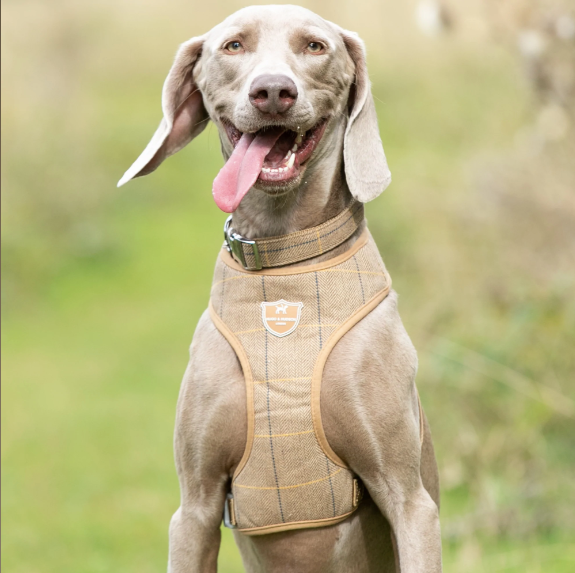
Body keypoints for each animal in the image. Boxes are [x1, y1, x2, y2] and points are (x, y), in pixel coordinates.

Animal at [117, 5, 440, 572]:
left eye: (315, 46)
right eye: (233, 46)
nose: (273, 91)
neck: (284, 263)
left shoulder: (409, 500)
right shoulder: (195, 506)